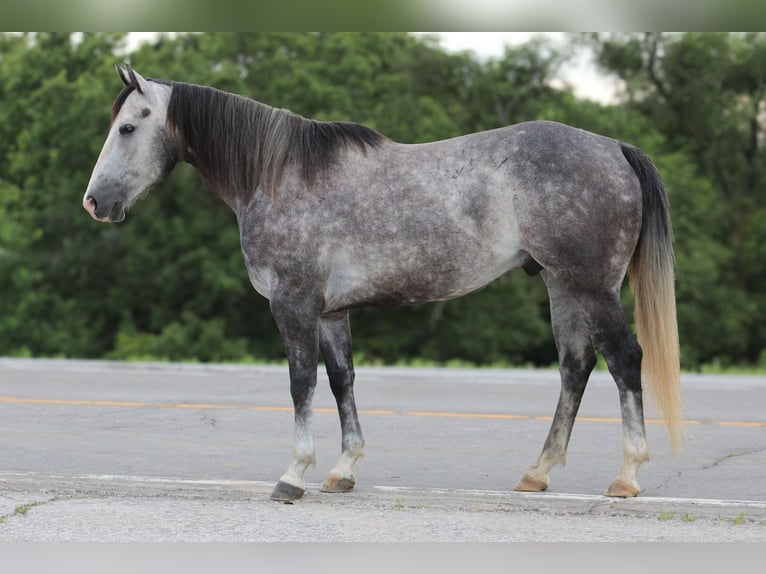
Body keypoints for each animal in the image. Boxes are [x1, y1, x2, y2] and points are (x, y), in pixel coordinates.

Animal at [83, 64, 682, 501]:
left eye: (128, 128)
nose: (93, 202)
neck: (278, 175)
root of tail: (614, 148)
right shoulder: (331, 312)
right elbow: (341, 380)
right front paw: (342, 469)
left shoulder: (293, 305)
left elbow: (301, 384)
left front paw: (294, 476)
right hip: (562, 285)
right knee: (575, 367)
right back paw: (538, 472)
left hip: (592, 287)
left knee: (625, 360)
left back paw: (627, 476)